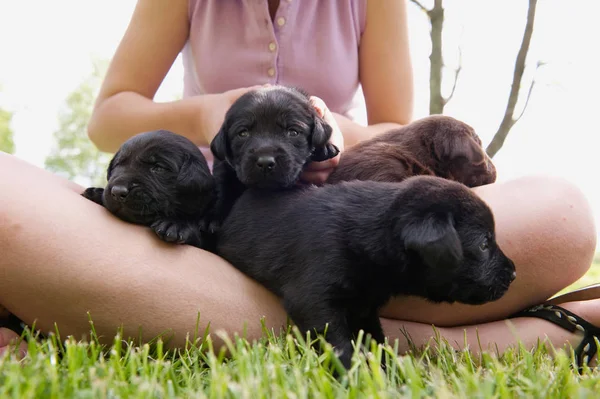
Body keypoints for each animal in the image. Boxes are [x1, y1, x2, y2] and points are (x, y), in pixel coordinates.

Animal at [206, 86, 338, 233]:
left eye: (293, 132)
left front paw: (325, 147)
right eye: (243, 133)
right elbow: (223, 187)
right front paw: (215, 219)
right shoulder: (223, 165)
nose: (265, 163)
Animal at [216, 177, 516, 370]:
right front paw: (355, 376)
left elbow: (375, 341)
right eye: (484, 244)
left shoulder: (364, 308)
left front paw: (386, 372)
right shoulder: (316, 301)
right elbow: (341, 346)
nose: (513, 273)